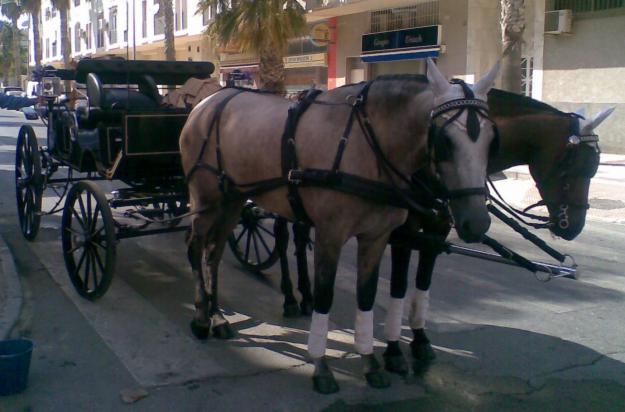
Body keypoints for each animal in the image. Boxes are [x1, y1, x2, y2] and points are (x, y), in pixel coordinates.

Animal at [178, 58, 500, 392]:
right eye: (445, 141)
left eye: (492, 139)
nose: (477, 222)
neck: (366, 145)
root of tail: (207, 102)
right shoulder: (330, 236)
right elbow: (325, 295)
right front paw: (321, 365)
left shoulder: (376, 237)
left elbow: (366, 295)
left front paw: (370, 359)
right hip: (205, 199)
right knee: (196, 246)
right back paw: (201, 317)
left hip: (233, 200)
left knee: (213, 254)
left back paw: (217, 317)